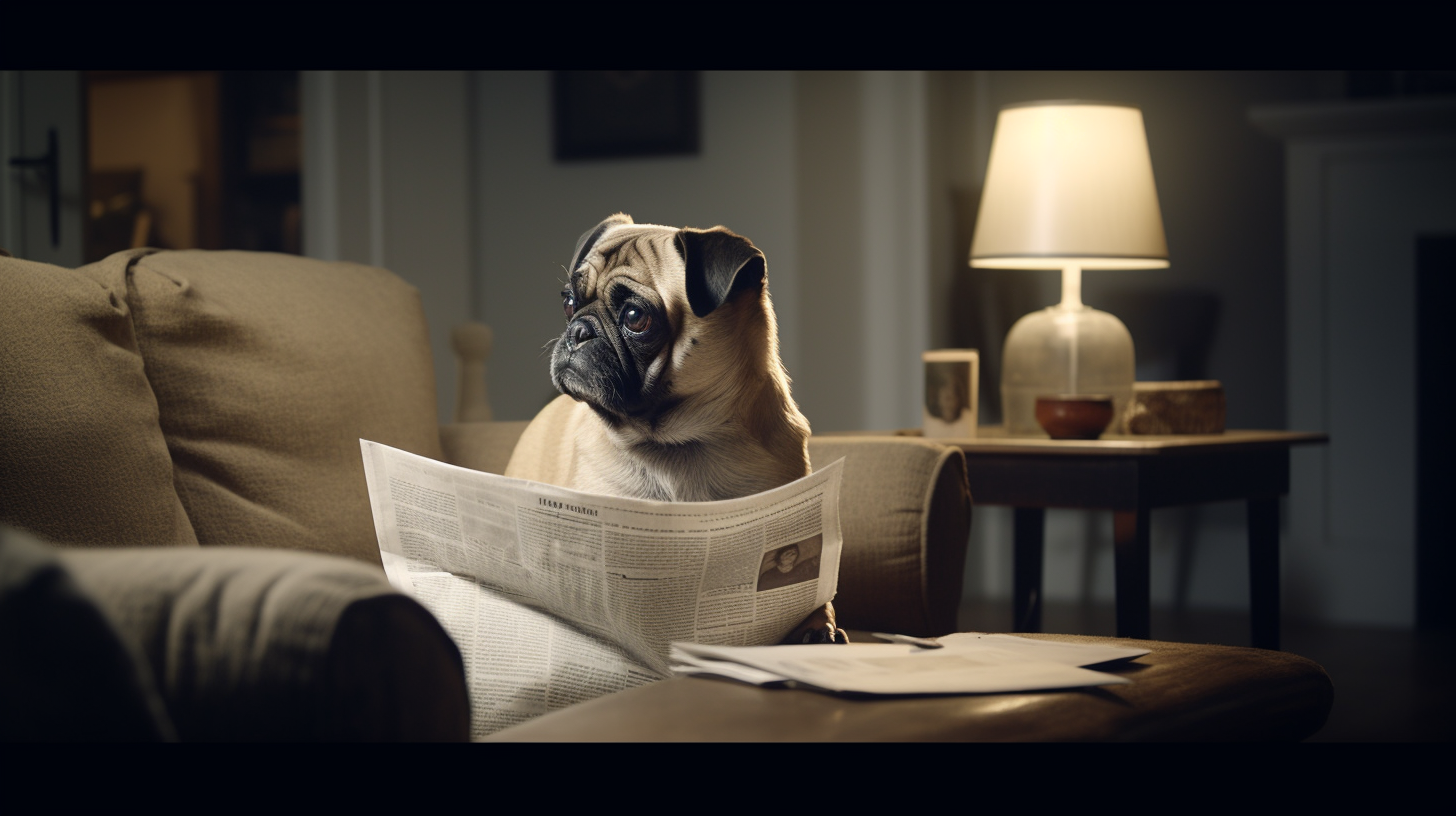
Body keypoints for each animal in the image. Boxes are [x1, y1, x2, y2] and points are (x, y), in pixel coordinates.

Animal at [506, 214, 850, 646]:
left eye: (635, 317)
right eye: (568, 302)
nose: (578, 331)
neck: (680, 442)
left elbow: (813, 592)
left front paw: (817, 626)